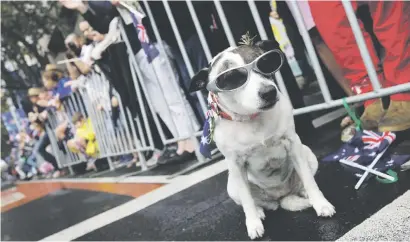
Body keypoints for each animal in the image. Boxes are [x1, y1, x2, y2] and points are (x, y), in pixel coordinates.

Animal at [191, 38, 334, 239]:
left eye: (266, 63)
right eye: (231, 78)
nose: (268, 92)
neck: (253, 118)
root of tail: (281, 196)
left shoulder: (293, 145)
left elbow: (309, 180)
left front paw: (321, 204)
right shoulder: (236, 165)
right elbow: (247, 200)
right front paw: (253, 223)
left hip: (308, 154)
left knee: (303, 182)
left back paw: (304, 194)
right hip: (232, 185)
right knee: (255, 201)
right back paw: (259, 211)